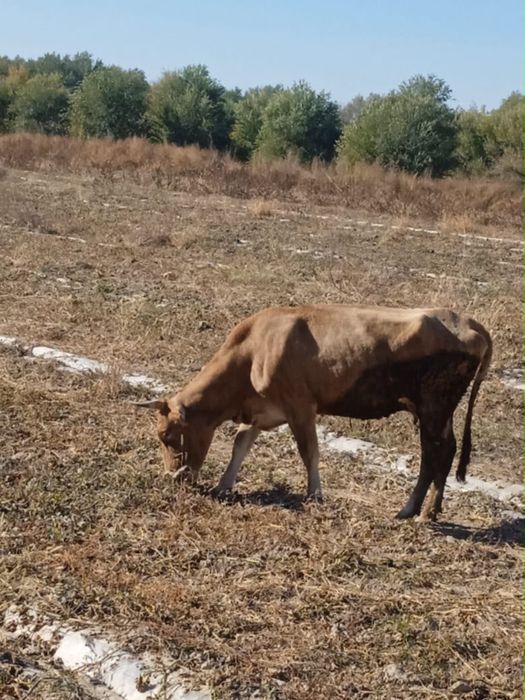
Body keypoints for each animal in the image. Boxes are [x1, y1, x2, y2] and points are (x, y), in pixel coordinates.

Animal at [135, 304, 492, 521]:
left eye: (167, 435)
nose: (173, 478)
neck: (252, 351)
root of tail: (468, 322)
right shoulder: (262, 411)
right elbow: (240, 446)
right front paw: (224, 485)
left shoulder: (300, 407)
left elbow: (310, 452)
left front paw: (315, 494)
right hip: (436, 411)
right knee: (442, 452)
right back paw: (424, 509)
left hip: (434, 407)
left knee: (437, 453)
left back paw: (419, 511)